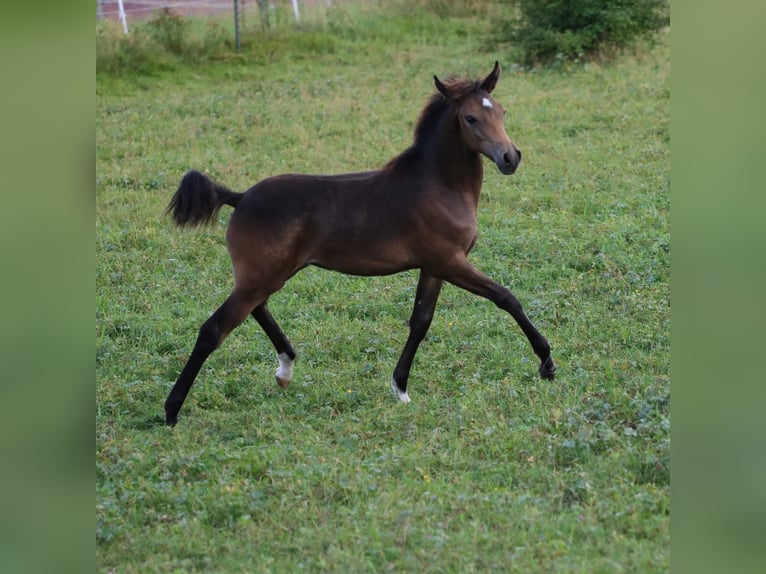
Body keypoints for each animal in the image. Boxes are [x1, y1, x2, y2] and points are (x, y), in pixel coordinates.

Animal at [164, 62, 560, 428]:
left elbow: (421, 321)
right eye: (470, 117)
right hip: (262, 276)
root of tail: (240, 197)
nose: (510, 157)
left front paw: (400, 387)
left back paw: (285, 368)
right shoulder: (451, 261)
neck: (437, 186)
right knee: (215, 329)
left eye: (502, 111)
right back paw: (171, 410)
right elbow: (506, 297)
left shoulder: (433, 266)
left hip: (265, 275)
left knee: (256, 309)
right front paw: (547, 364)